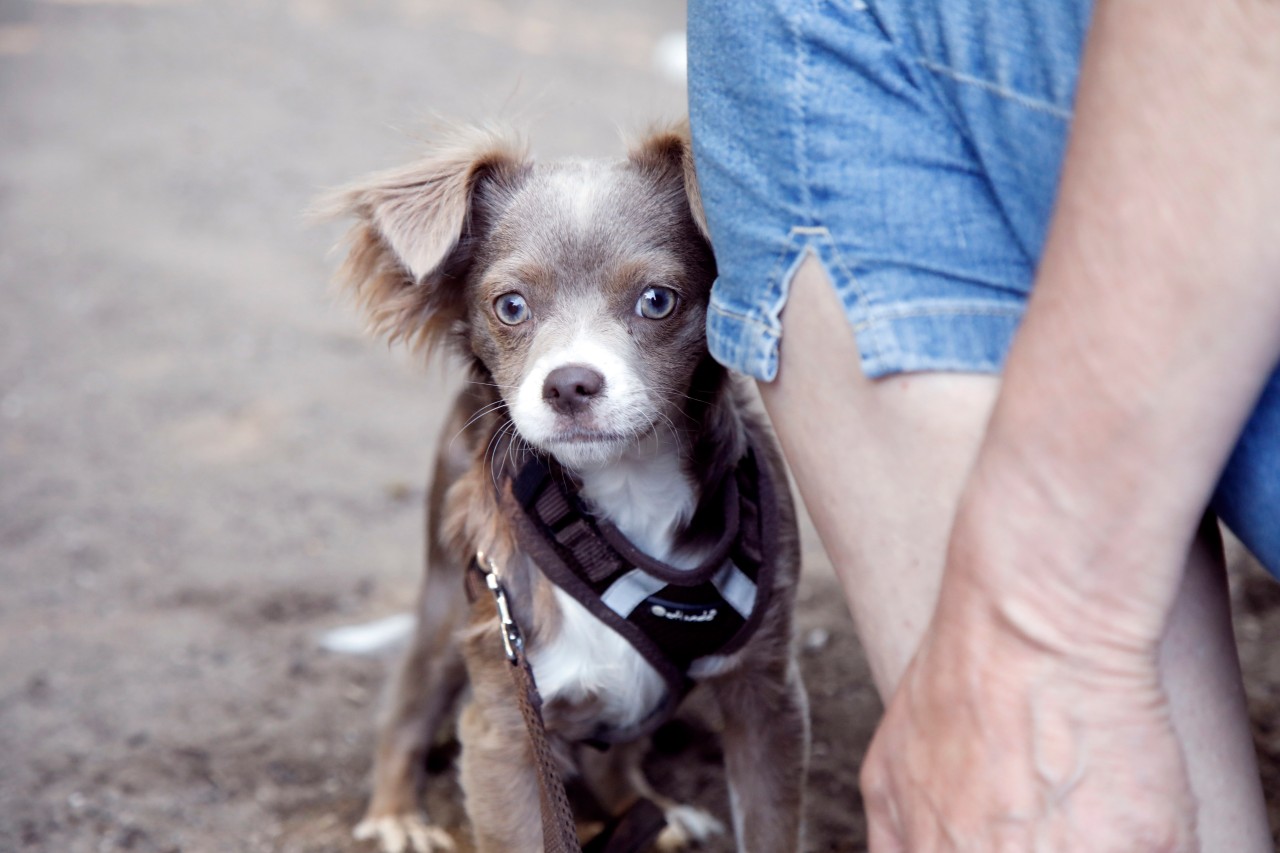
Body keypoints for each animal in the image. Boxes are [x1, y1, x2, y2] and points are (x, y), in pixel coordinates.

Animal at [327, 121, 808, 850]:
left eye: (657, 300)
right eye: (511, 307)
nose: (570, 384)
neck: (626, 496)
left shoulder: (767, 693)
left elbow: (773, 823)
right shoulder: (503, 721)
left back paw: (654, 813)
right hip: (445, 602)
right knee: (408, 703)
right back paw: (396, 815)